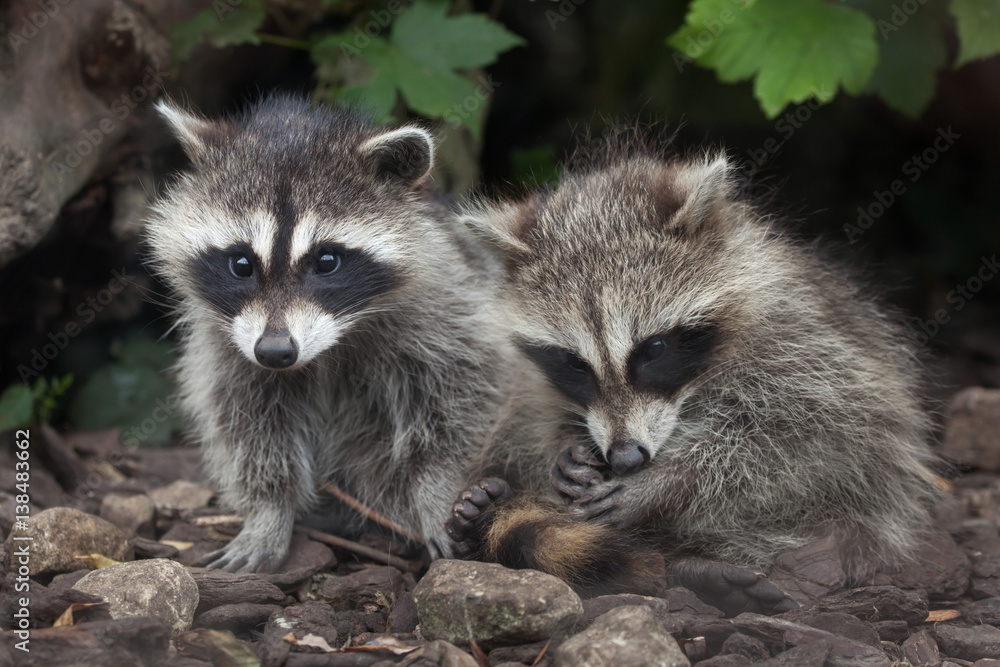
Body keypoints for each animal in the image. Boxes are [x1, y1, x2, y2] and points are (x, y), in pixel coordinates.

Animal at [145, 96, 518, 572]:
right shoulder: (226, 342)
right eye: (241, 263)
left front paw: (439, 490)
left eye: (326, 261)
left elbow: (460, 398)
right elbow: (247, 422)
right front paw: (269, 510)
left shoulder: (448, 307)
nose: (275, 352)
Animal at [449, 133, 940, 609]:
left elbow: (800, 436)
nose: (625, 459)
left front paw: (672, 481)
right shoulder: (542, 382)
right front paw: (565, 448)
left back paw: (697, 564)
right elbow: (546, 411)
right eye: (574, 363)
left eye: (654, 349)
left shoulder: (808, 345)